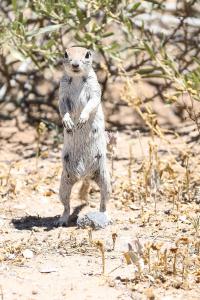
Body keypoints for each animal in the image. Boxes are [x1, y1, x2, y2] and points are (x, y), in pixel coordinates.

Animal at [57, 46, 111, 225]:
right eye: (65, 54)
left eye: (87, 54)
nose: (75, 64)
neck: (76, 78)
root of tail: (84, 175)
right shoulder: (62, 91)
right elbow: (62, 106)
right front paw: (68, 123)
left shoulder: (94, 88)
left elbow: (92, 102)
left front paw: (82, 118)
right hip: (64, 182)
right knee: (66, 205)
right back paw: (62, 220)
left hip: (105, 179)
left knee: (104, 201)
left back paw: (104, 216)